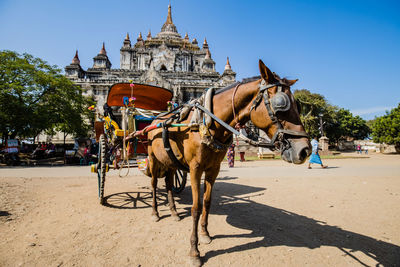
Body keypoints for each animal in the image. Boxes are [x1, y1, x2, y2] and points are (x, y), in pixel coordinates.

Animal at [145, 59, 310, 266]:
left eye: (298, 105)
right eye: (280, 104)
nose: (305, 150)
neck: (210, 122)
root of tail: (156, 118)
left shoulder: (213, 168)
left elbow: (207, 202)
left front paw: (205, 234)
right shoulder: (195, 168)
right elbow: (195, 208)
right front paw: (194, 251)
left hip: (170, 162)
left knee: (168, 183)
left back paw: (174, 212)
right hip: (153, 157)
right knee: (153, 184)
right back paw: (155, 213)